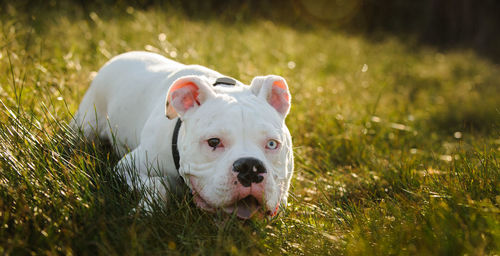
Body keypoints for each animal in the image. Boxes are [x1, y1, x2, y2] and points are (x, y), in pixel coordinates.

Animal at [73, 51, 292, 218]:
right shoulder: (127, 168)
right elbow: (159, 184)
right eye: (214, 142)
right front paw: (145, 210)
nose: (250, 167)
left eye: (272, 144)